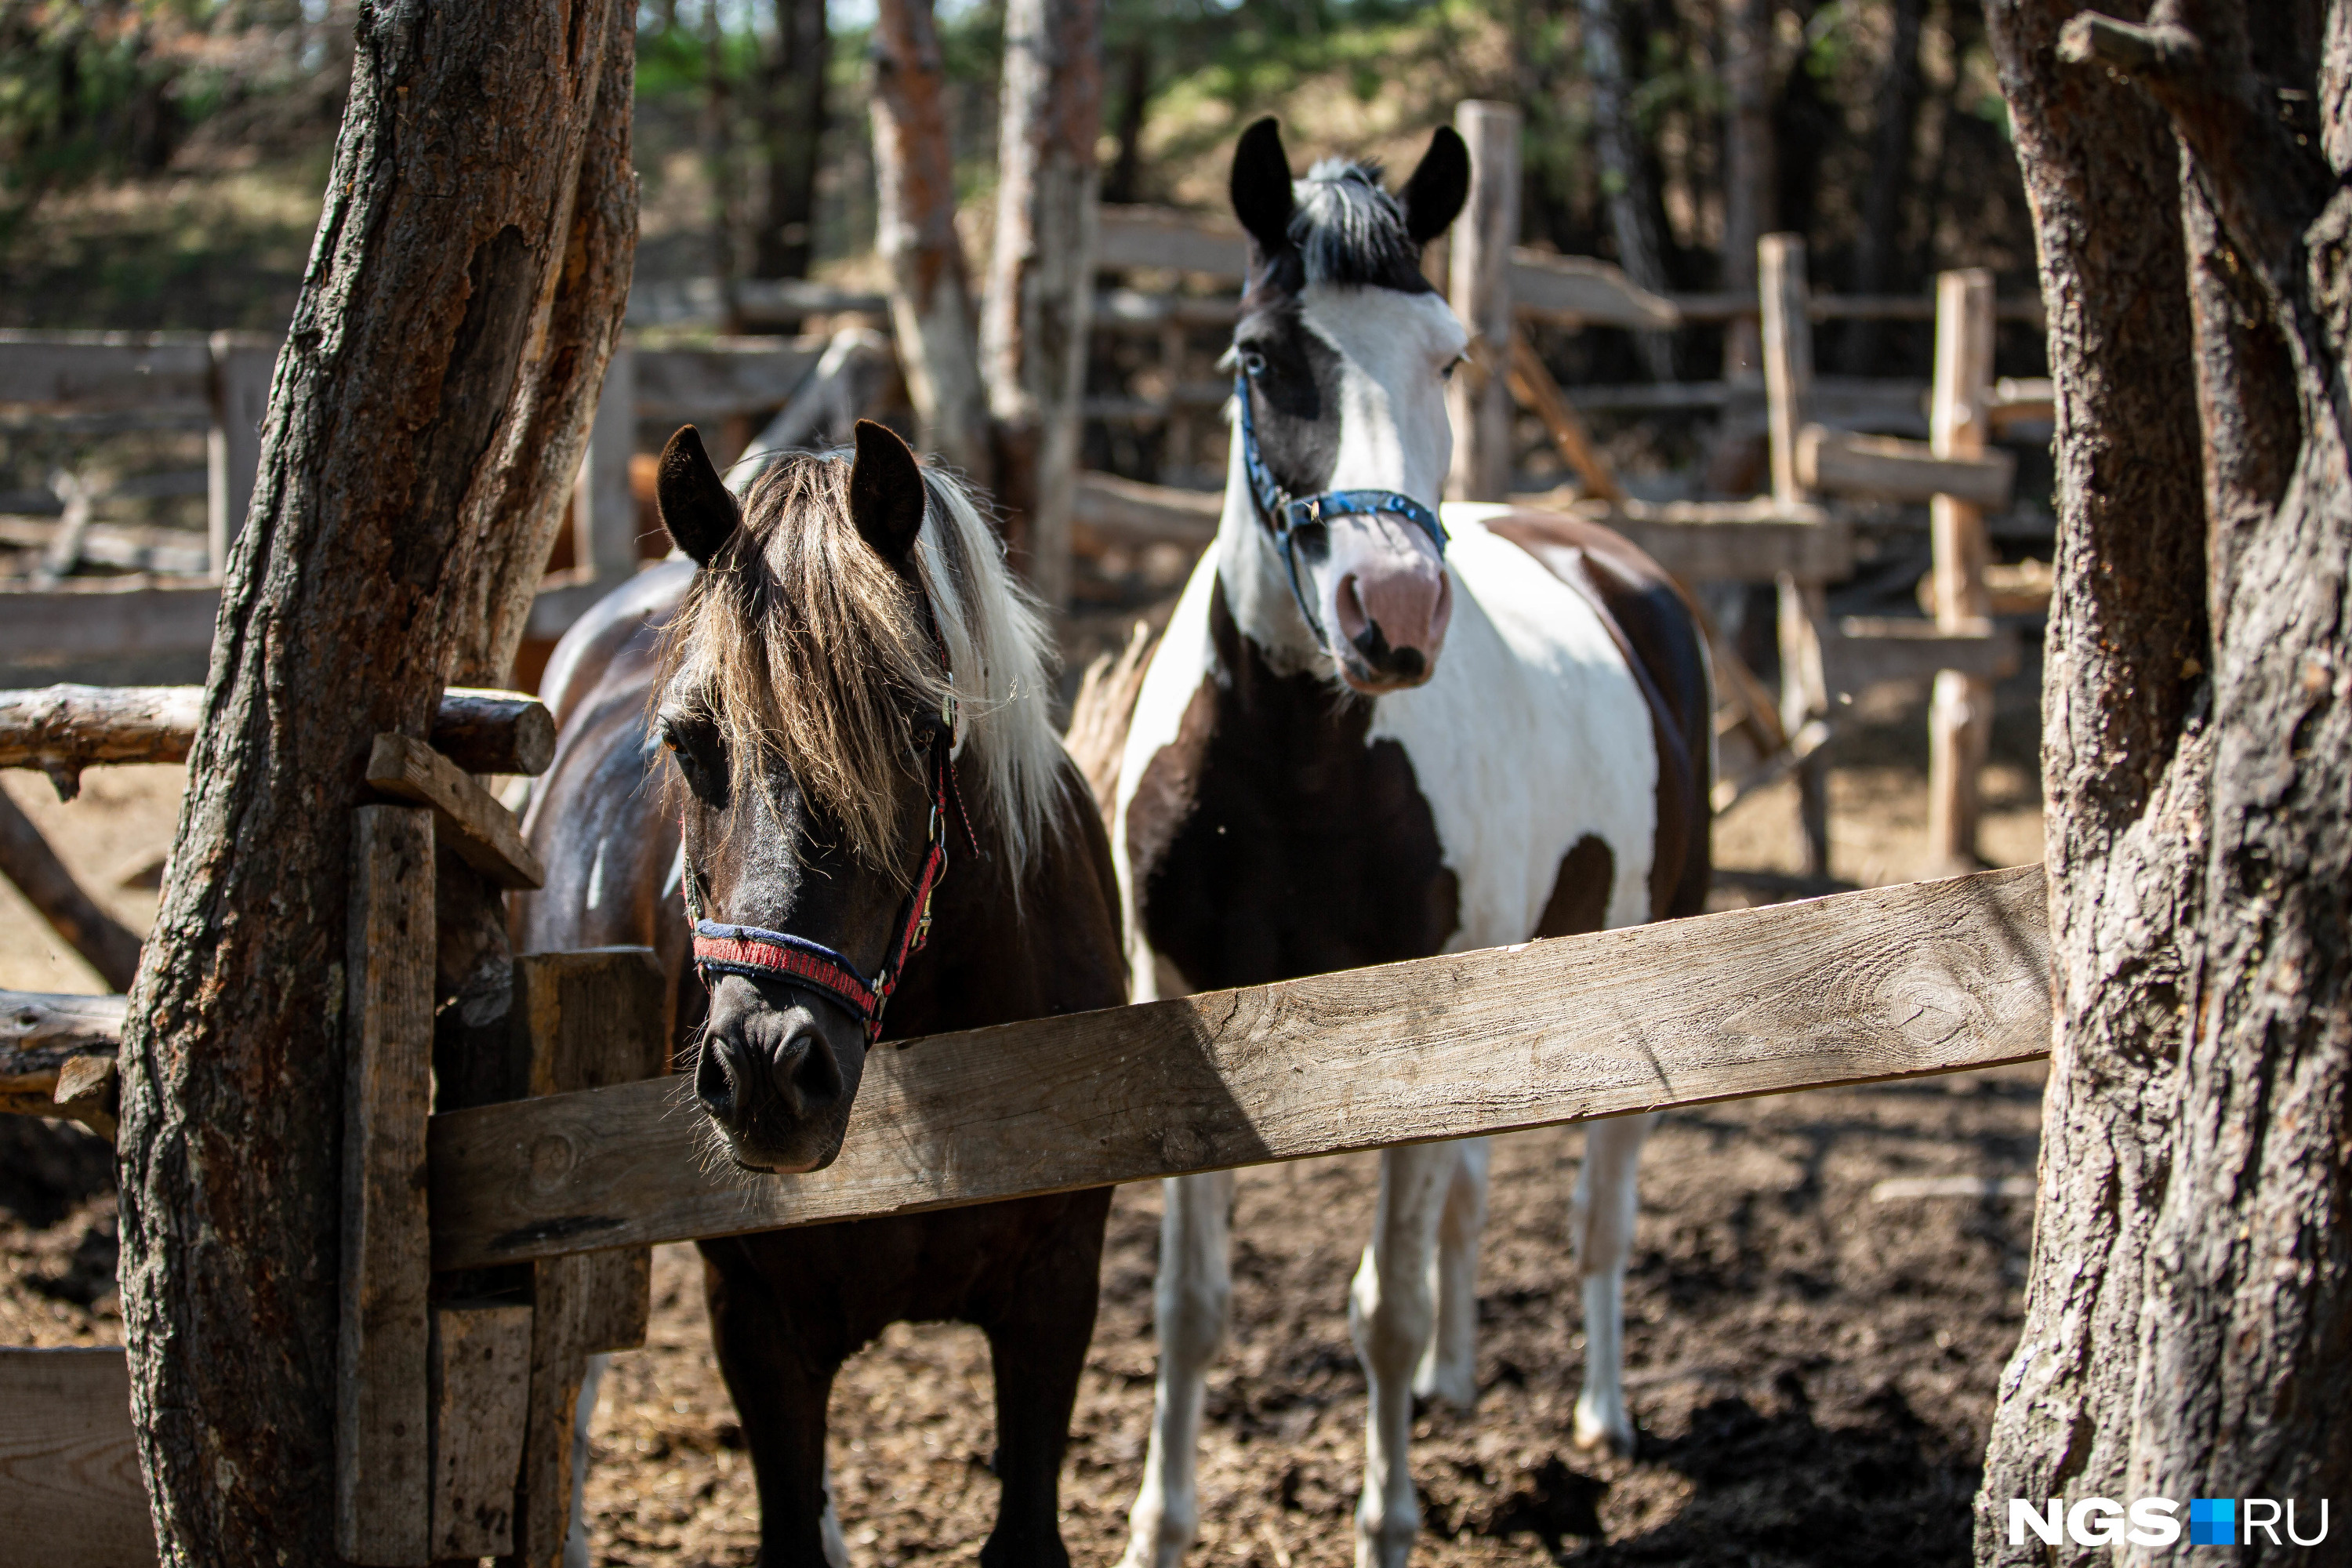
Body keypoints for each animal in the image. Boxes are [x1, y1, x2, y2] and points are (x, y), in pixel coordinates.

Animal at [1110, 122, 1703, 1568]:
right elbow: (1189, 1309)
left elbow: (1380, 1307)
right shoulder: (1176, 1005)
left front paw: (1387, 1522)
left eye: (1449, 354)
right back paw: (1455, 1382)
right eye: (1260, 357)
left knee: (1600, 1216)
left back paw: (1602, 1413)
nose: (1393, 612)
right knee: (1472, 1205)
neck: (1294, 770)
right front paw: (1160, 1524)